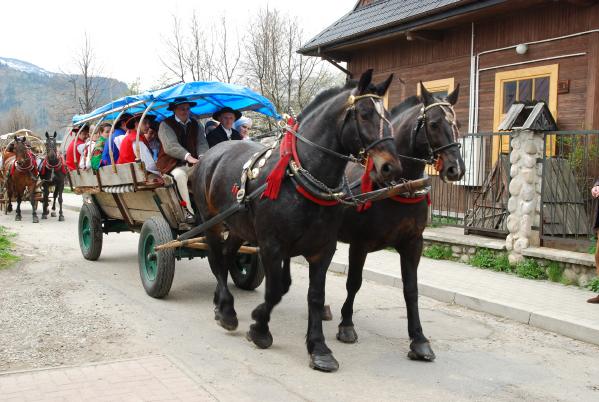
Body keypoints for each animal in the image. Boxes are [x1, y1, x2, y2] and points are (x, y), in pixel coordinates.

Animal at [192, 69, 402, 372]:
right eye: (363, 114)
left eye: (387, 115)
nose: (391, 167)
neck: (299, 177)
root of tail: (210, 154)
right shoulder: (271, 245)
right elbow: (275, 291)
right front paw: (259, 327)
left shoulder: (322, 249)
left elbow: (314, 296)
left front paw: (319, 349)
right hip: (212, 221)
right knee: (217, 261)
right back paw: (228, 311)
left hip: (238, 227)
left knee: (227, 255)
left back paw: (220, 304)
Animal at [334, 83, 465, 361]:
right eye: (434, 123)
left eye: (457, 122)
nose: (456, 169)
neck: (397, 185)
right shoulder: (359, 244)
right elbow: (354, 282)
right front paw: (346, 324)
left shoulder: (413, 244)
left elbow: (411, 290)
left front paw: (419, 339)